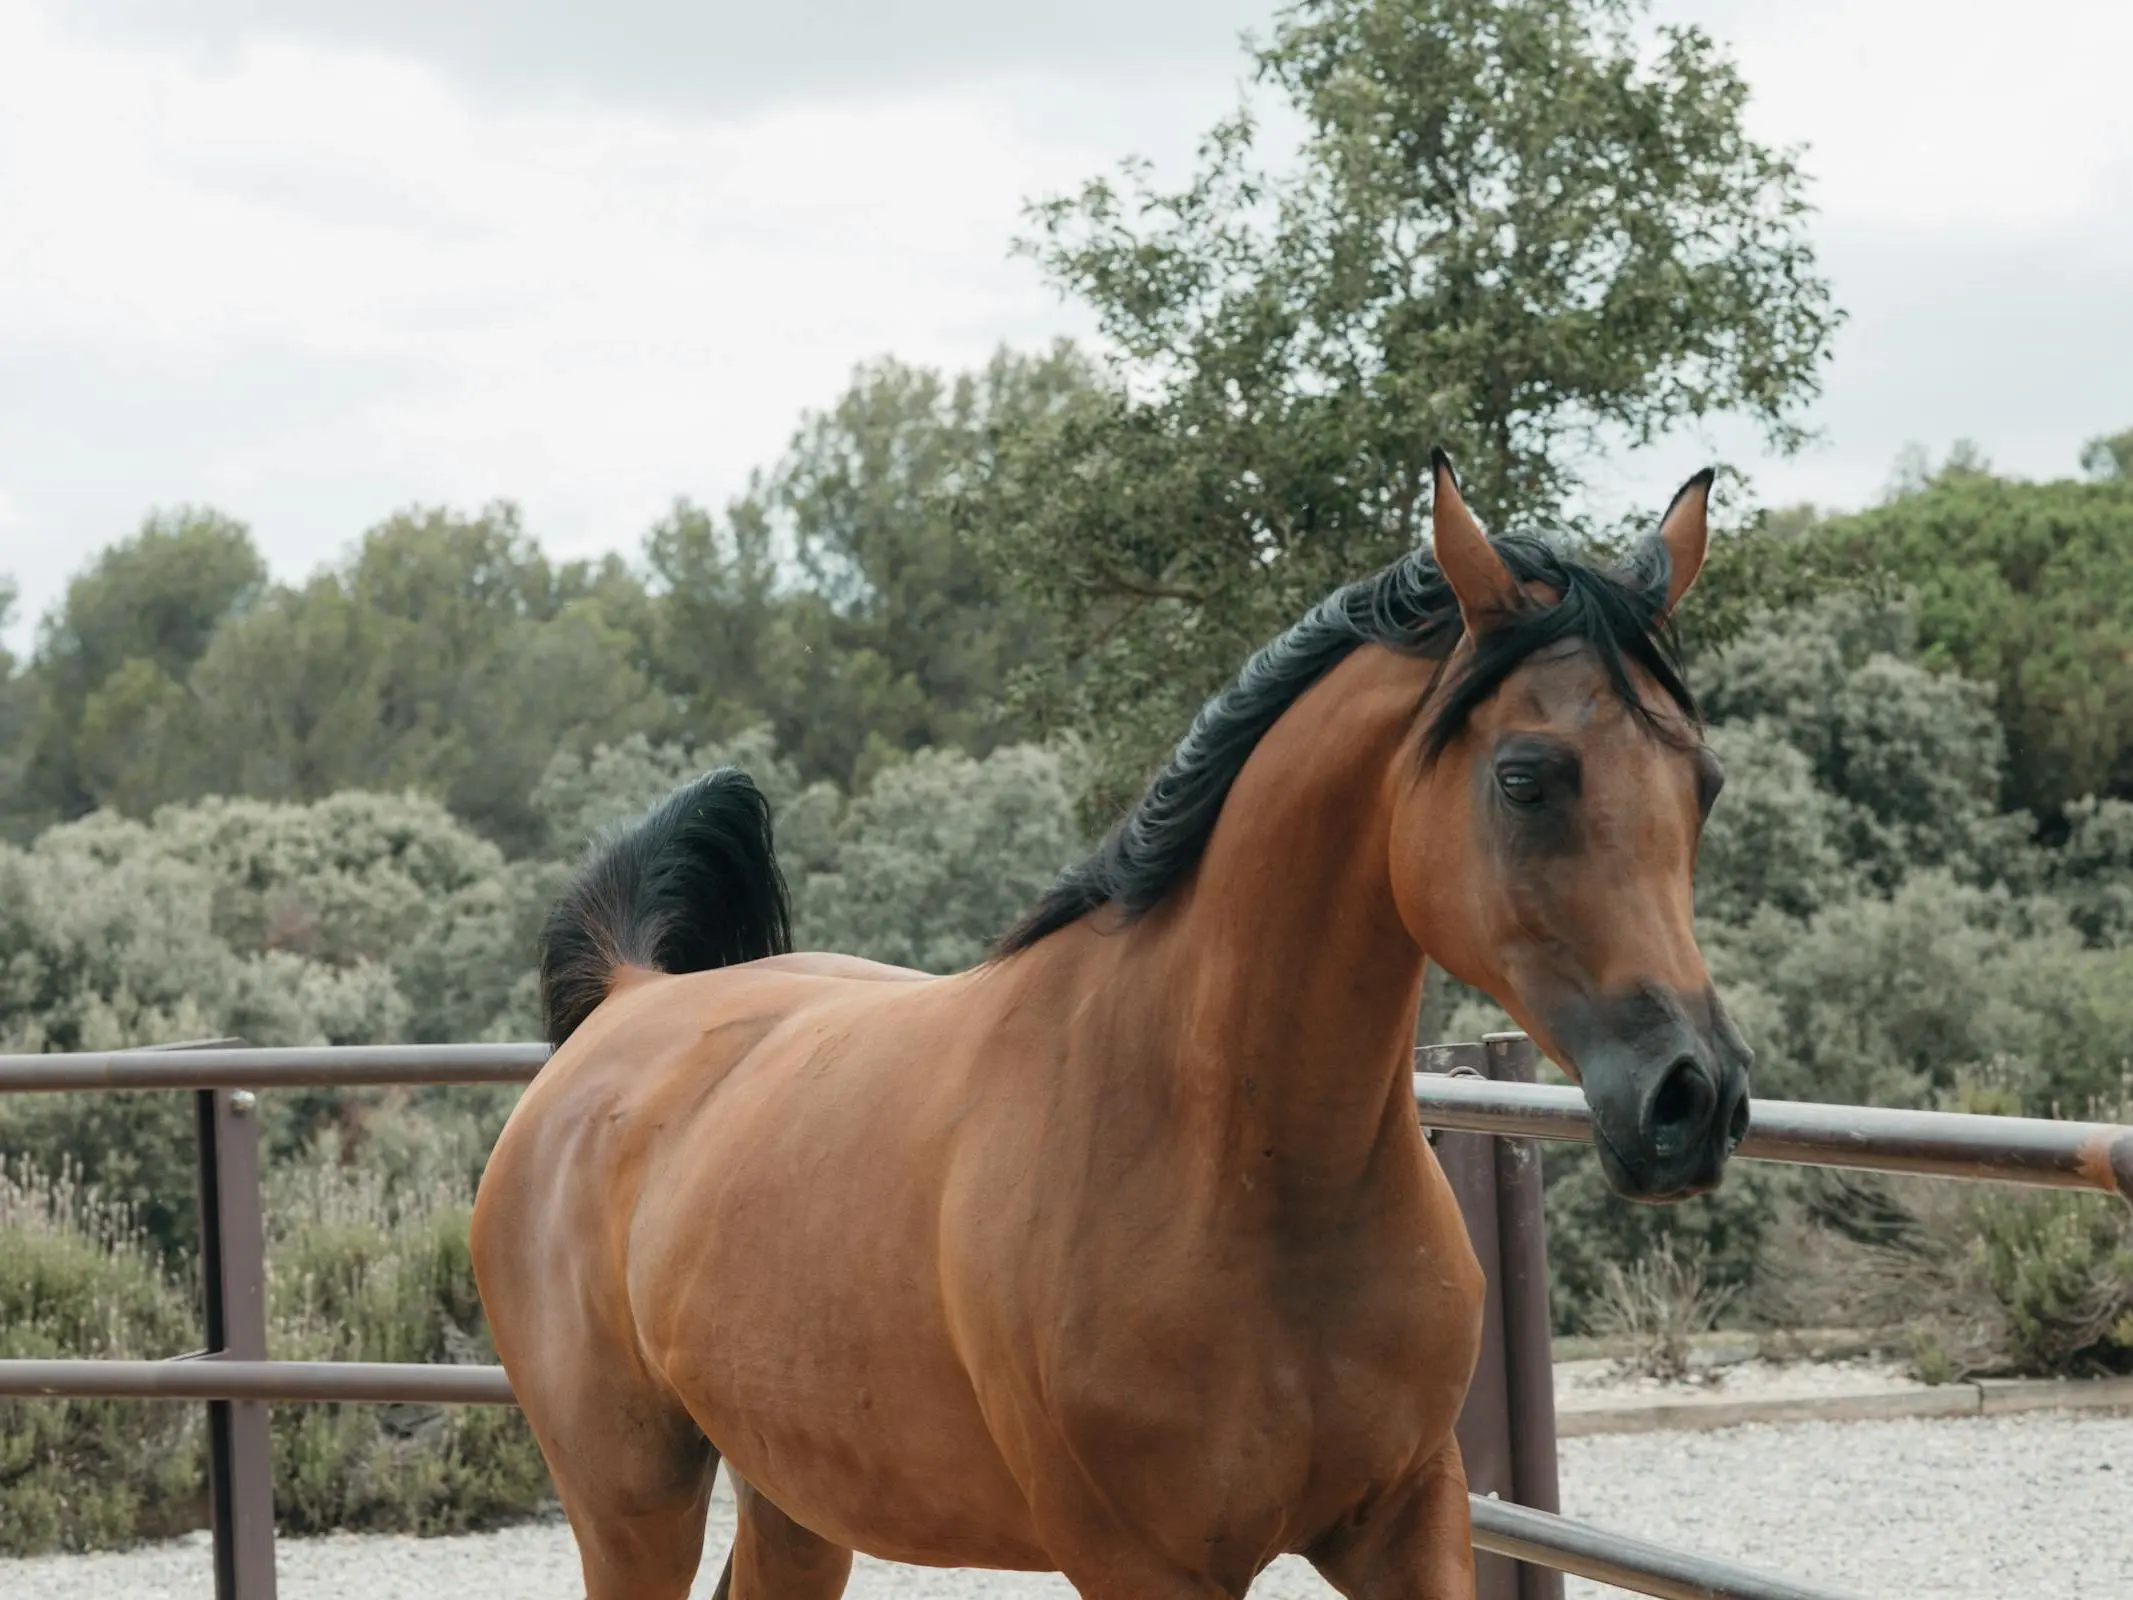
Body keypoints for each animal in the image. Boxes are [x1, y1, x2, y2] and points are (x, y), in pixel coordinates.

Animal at [479, 454, 1749, 1600]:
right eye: (1527, 777)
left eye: (1705, 783)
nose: (1692, 1099)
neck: (1235, 1160)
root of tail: (631, 998)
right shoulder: (1148, 1566)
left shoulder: (1408, 1518)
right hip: (631, 1506)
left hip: (797, 1497)